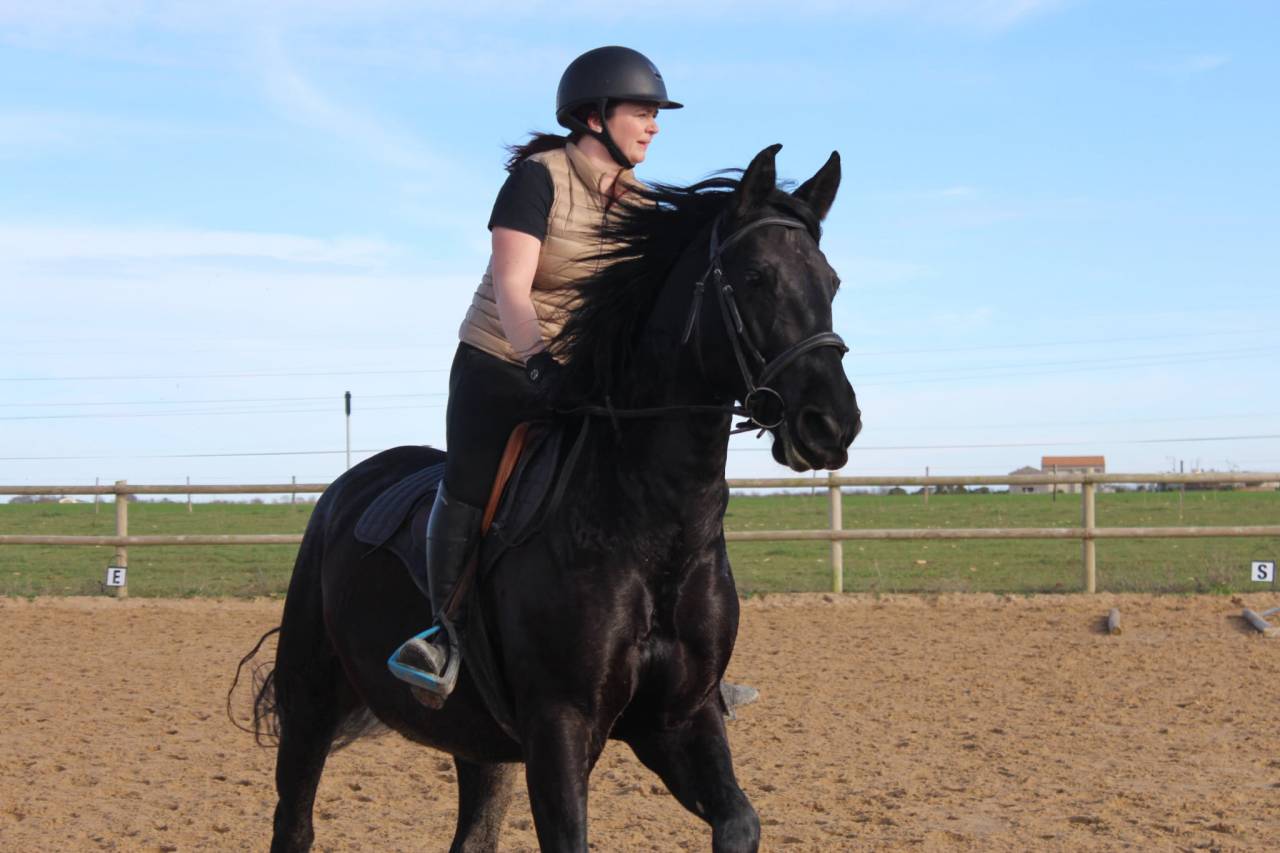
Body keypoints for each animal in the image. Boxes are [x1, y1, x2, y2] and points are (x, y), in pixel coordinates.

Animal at [239, 143, 861, 853]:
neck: (650, 530)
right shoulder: (560, 726)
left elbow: (739, 821)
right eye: (757, 277)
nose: (832, 425)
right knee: (294, 821)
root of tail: (347, 488)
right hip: (309, 703)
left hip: (478, 744)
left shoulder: (680, 718)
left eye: (832, 283)